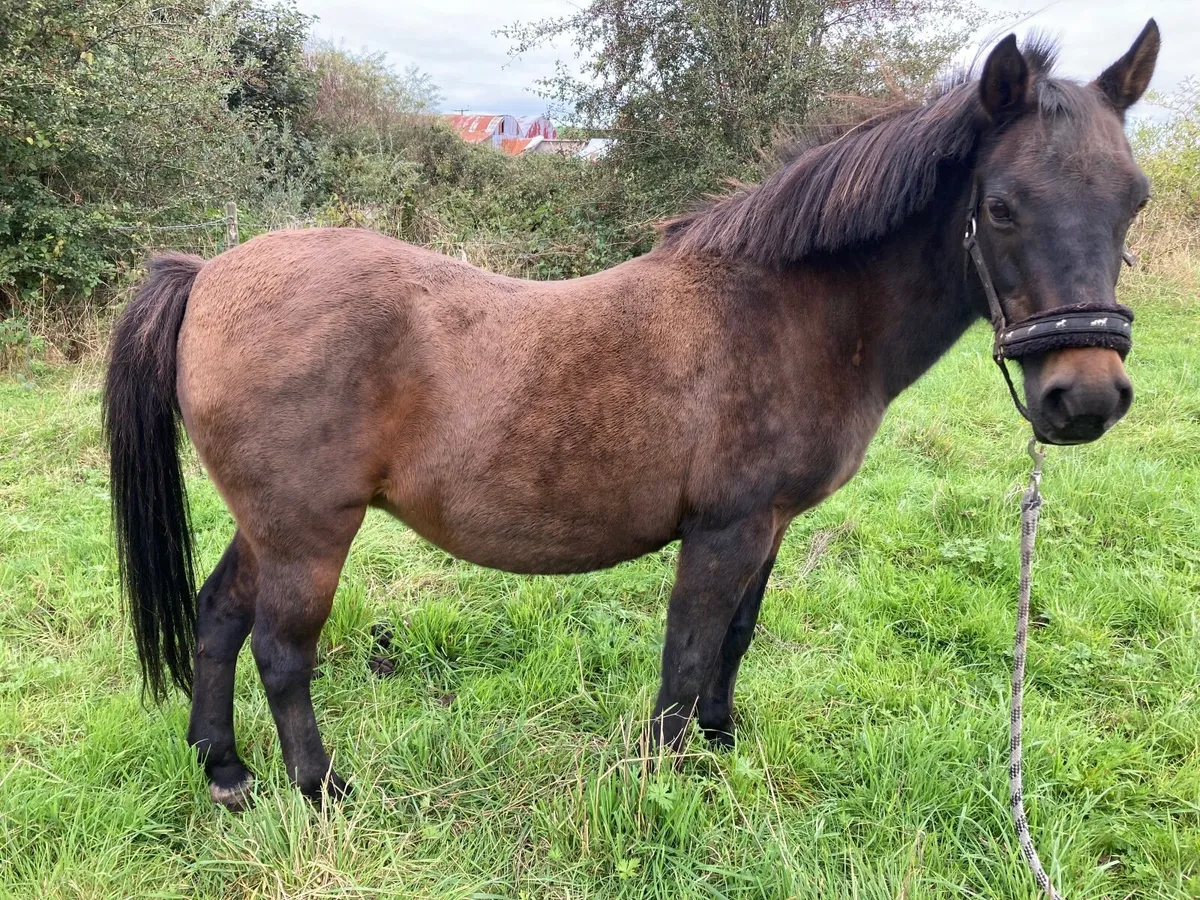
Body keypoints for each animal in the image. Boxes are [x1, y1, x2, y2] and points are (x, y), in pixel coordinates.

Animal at [104, 23, 1159, 810]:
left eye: (1136, 201)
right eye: (1003, 206)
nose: (1084, 396)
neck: (790, 311)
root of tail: (209, 276)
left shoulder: (769, 524)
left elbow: (734, 637)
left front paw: (720, 744)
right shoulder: (725, 528)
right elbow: (686, 652)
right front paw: (664, 776)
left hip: (268, 524)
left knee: (217, 617)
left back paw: (225, 771)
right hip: (310, 530)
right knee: (282, 650)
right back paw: (322, 790)